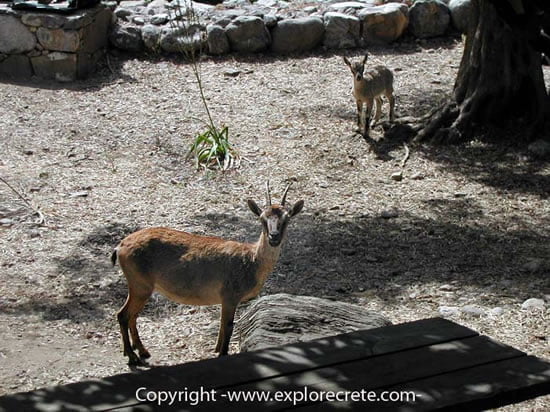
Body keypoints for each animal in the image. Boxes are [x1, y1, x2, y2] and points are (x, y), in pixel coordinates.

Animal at [110, 183, 304, 364]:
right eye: (262, 219)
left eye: (286, 219)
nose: (274, 236)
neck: (251, 262)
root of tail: (120, 247)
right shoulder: (230, 295)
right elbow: (228, 326)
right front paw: (223, 353)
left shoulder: (225, 299)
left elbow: (222, 325)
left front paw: (217, 349)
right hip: (140, 284)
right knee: (123, 315)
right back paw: (132, 356)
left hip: (140, 286)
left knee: (132, 316)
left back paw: (143, 351)